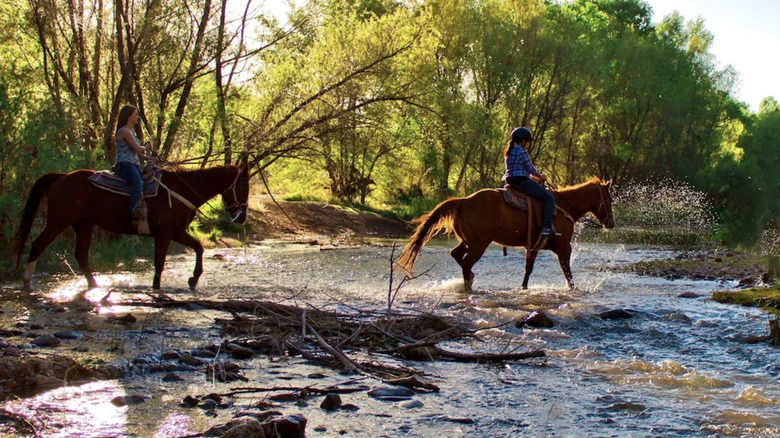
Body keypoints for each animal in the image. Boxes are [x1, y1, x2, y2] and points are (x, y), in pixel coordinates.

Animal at [12, 164, 250, 290]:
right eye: (242, 187)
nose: (242, 218)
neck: (181, 191)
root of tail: (61, 177)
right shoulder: (164, 233)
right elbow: (160, 262)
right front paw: (156, 288)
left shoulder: (176, 232)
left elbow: (198, 247)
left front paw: (193, 279)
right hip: (58, 221)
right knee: (38, 244)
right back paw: (27, 281)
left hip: (84, 224)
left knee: (81, 254)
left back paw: (94, 284)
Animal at [396, 178, 616, 290]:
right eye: (610, 199)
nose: (611, 223)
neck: (564, 206)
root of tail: (463, 201)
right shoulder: (564, 247)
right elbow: (567, 271)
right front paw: (573, 289)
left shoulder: (533, 247)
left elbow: (528, 270)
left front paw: (524, 288)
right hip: (479, 244)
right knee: (466, 262)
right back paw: (469, 286)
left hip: (468, 241)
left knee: (457, 255)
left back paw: (470, 279)